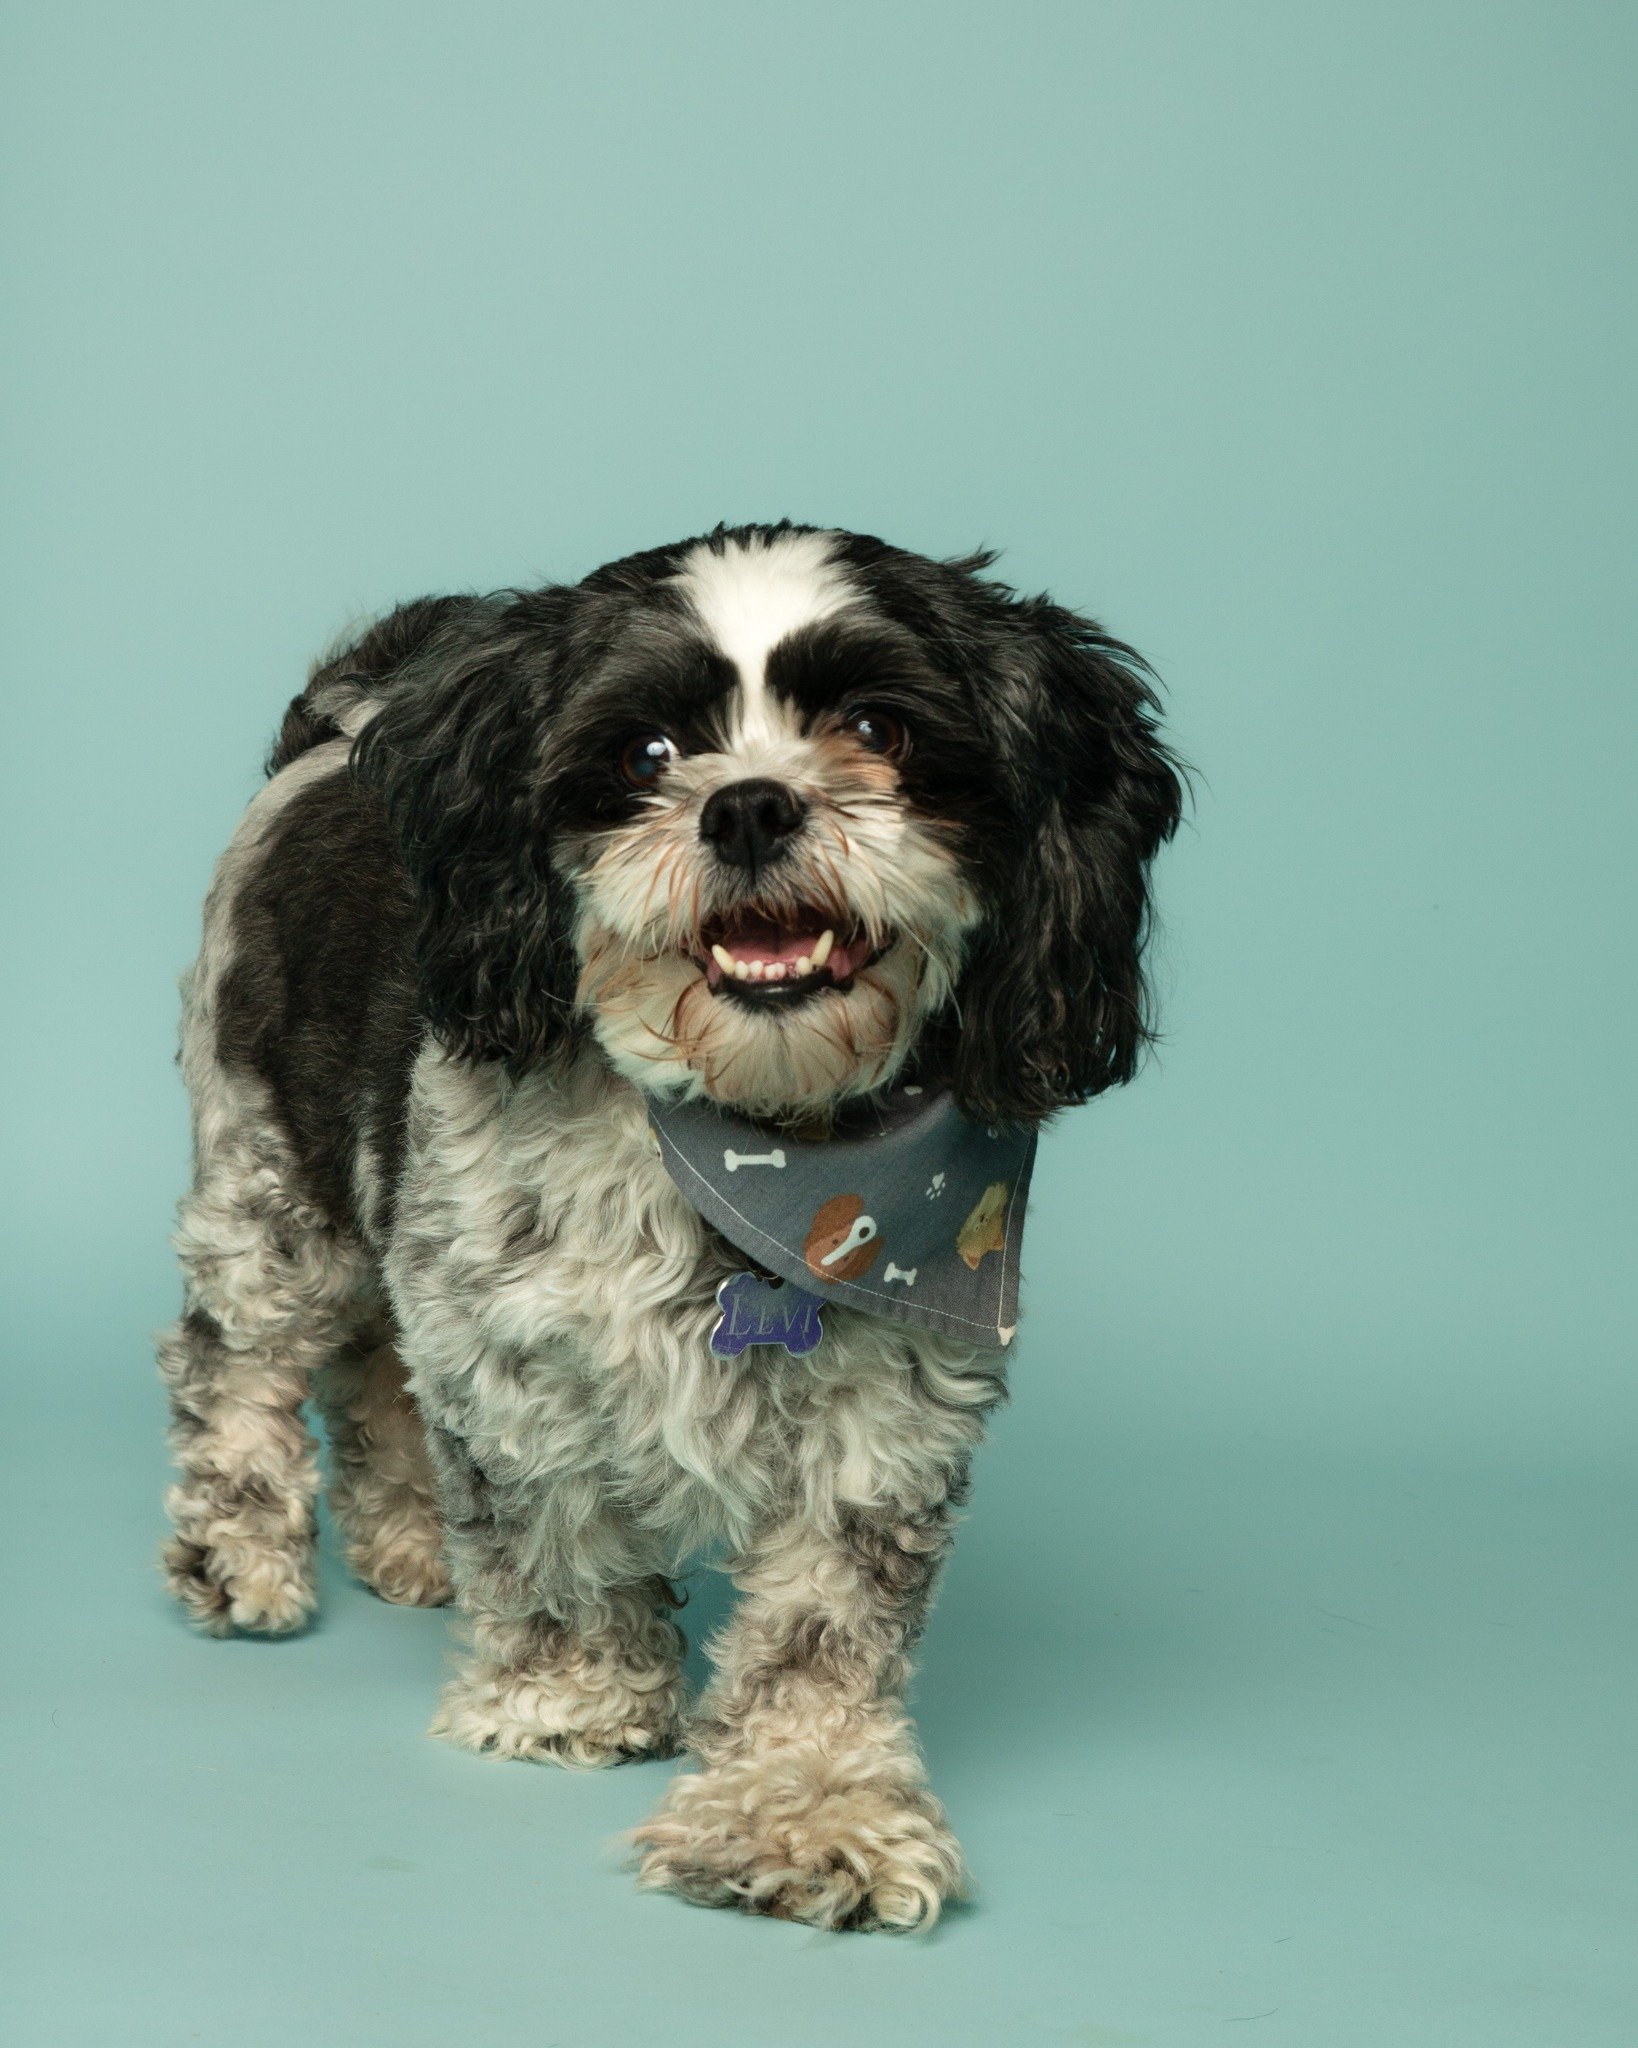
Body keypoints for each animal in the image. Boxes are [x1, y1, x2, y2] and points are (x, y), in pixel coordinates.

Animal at [159, 520, 1187, 1925]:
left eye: (879, 725)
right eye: (645, 753)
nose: (747, 802)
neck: (762, 1154)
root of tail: (339, 729)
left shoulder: (886, 1412)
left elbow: (823, 1628)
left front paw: (808, 1809)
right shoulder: (517, 1352)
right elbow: (550, 1540)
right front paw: (569, 1698)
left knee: (372, 1363)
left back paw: (411, 1540)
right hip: (273, 1180)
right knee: (241, 1356)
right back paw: (240, 1555)